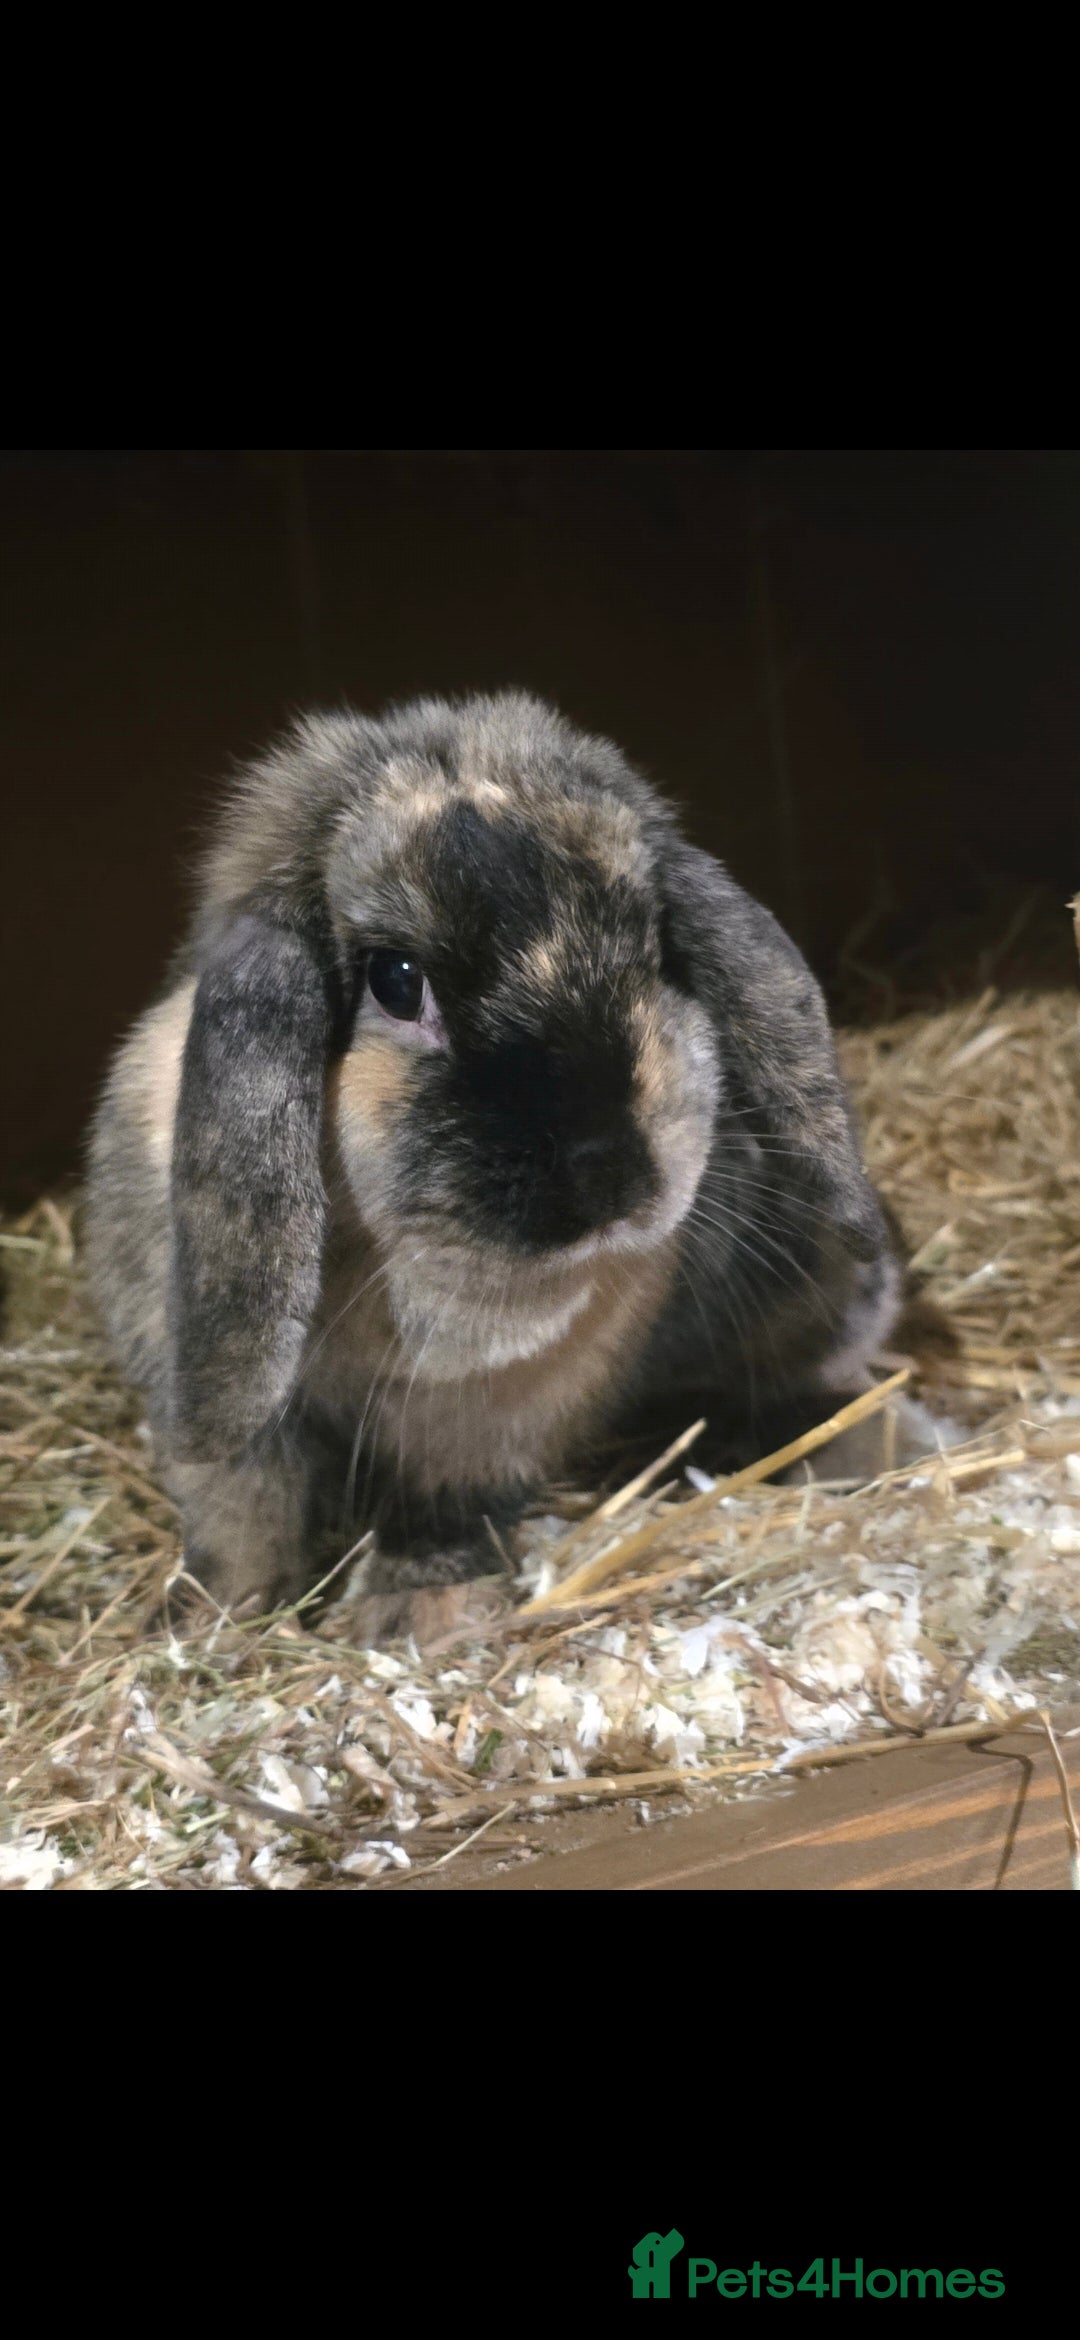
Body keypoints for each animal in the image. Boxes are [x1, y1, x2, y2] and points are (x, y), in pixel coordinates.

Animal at [85, 690, 925, 1641]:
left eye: (649, 947)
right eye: (396, 980)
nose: (610, 1178)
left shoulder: (481, 1426)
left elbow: (440, 1513)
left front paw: (418, 1615)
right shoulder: (219, 1412)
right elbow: (241, 1512)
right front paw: (214, 1621)